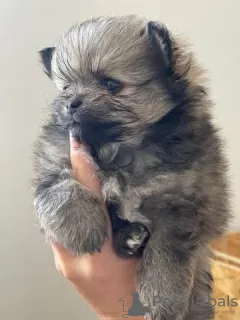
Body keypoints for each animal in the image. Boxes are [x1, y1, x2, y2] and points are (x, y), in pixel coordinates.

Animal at [33, 16, 229, 320]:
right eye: (66, 88)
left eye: (111, 84)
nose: (71, 102)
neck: (119, 148)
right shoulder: (54, 156)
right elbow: (60, 187)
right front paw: (80, 225)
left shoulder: (178, 200)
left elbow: (165, 256)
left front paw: (162, 298)